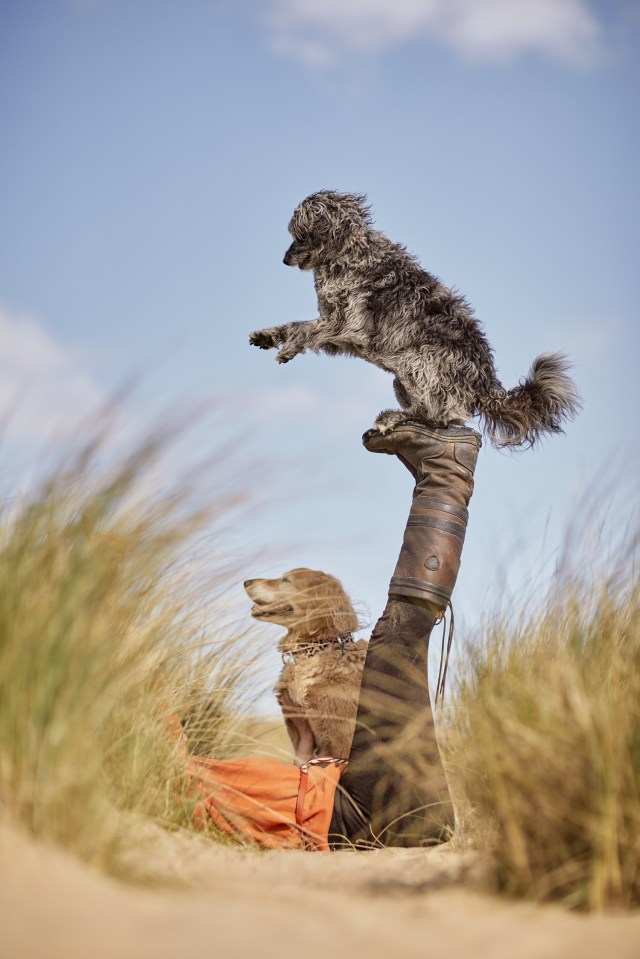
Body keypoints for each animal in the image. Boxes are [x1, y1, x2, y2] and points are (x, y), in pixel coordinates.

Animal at [250, 190, 580, 446]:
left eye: (300, 235)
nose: (284, 259)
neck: (348, 251)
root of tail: (486, 387)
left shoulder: (348, 324)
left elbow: (305, 329)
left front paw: (289, 348)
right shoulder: (336, 326)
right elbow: (296, 325)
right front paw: (268, 336)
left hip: (416, 359)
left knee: (434, 416)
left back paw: (391, 417)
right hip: (402, 379)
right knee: (441, 418)